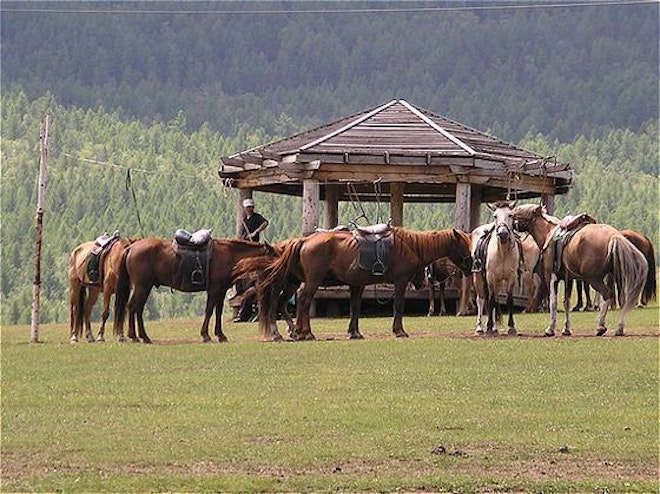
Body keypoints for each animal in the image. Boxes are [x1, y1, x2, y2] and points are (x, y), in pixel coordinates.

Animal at [113, 238, 275, 343]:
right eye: (274, 255)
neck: (230, 254)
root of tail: (131, 247)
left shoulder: (221, 290)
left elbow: (218, 312)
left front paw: (220, 335)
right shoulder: (214, 289)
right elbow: (209, 311)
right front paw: (206, 335)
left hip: (143, 287)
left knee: (135, 308)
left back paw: (138, 336)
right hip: (142, 286)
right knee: (134, 308)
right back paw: (138, 336)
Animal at [249, 227, 472, 341]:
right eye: (463, 244)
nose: (472, 264)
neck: (409, 246)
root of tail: (303, 241)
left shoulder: (358, 284)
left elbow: (354, 308)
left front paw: (354, 332)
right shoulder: (400, 282)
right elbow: (398, 306)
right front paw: (399, 330)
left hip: (294, 283)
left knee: (282, 303)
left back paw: (293, 332)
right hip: (311, 281)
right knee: (302, 302)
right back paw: (305, 333)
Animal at [471, 201, 523, 336]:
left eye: (510, 215)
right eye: (495, 216)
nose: (503, 234)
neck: (502, 252)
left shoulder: (511, 278)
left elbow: (509, 300)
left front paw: (511, 327)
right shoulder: (491, 277)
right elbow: (491, 301)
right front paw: (488, 327)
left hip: (498, 282)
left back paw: (494, 327)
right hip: (478, 278)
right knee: (481, 299)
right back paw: (480, 327)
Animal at [512, 204, 649, 336]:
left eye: (519, 211)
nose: (511, 222)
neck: (548, 233)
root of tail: (614, 236)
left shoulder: (550, 276)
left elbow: (553, 302)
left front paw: (550, 329)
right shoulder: (568, 279)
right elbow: (566, 302)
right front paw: (566, 329)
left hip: (594, 279)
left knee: (607, 295)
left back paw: (600, 327)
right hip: (616, 276)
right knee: (622, 299)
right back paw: (619, 328)